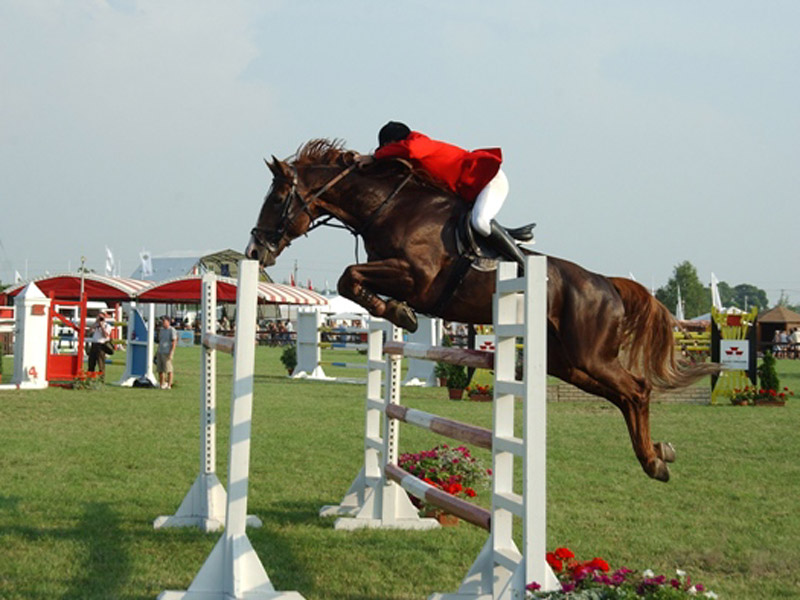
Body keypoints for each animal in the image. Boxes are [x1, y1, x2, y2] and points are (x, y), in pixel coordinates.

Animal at [245, 138, 720, 480]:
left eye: (277, 199)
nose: (255, 251)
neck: (388, 207)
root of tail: (608, 285)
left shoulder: (415, 275)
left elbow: (348, 276)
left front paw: (400, 314)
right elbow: (351, 280)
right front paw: (395, 311)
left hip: (591, 355)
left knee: (637, 390)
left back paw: (654, 462)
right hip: (569, 363)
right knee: (622, 395)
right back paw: (658, 453)